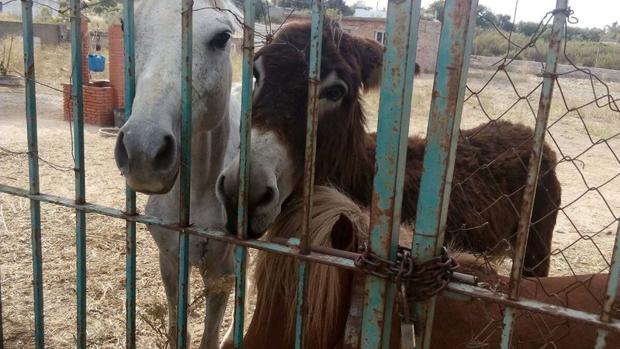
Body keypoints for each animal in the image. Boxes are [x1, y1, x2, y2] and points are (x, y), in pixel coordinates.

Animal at [114, 1, 242, 346]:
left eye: (222, 37)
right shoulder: (171, 263)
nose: (143, 151)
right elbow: (175, 328)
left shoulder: (220, 275)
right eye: (125, 26)